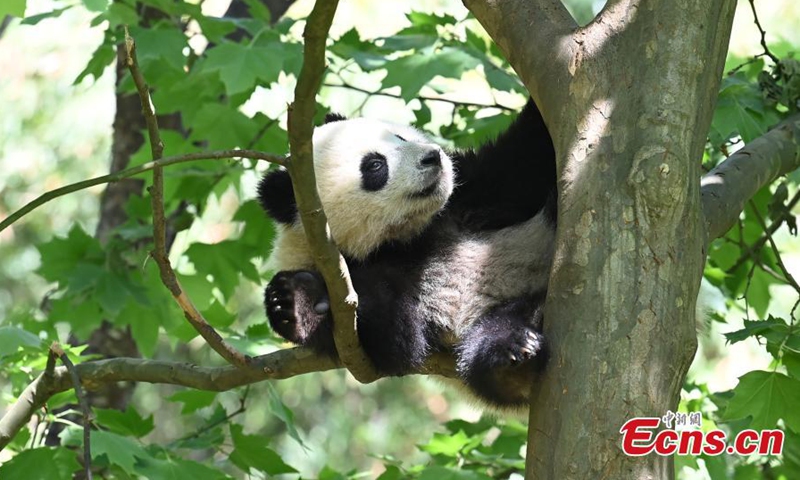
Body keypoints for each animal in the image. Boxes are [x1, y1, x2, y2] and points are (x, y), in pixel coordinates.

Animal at [257, 100, 557, 409]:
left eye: (399, 137)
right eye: (375, 165)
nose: (432, 157)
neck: (404, 238)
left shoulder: (471, 193)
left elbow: (525, 159)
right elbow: (394, 340)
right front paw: (296, 301)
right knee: (489, 344)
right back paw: (512, 356)